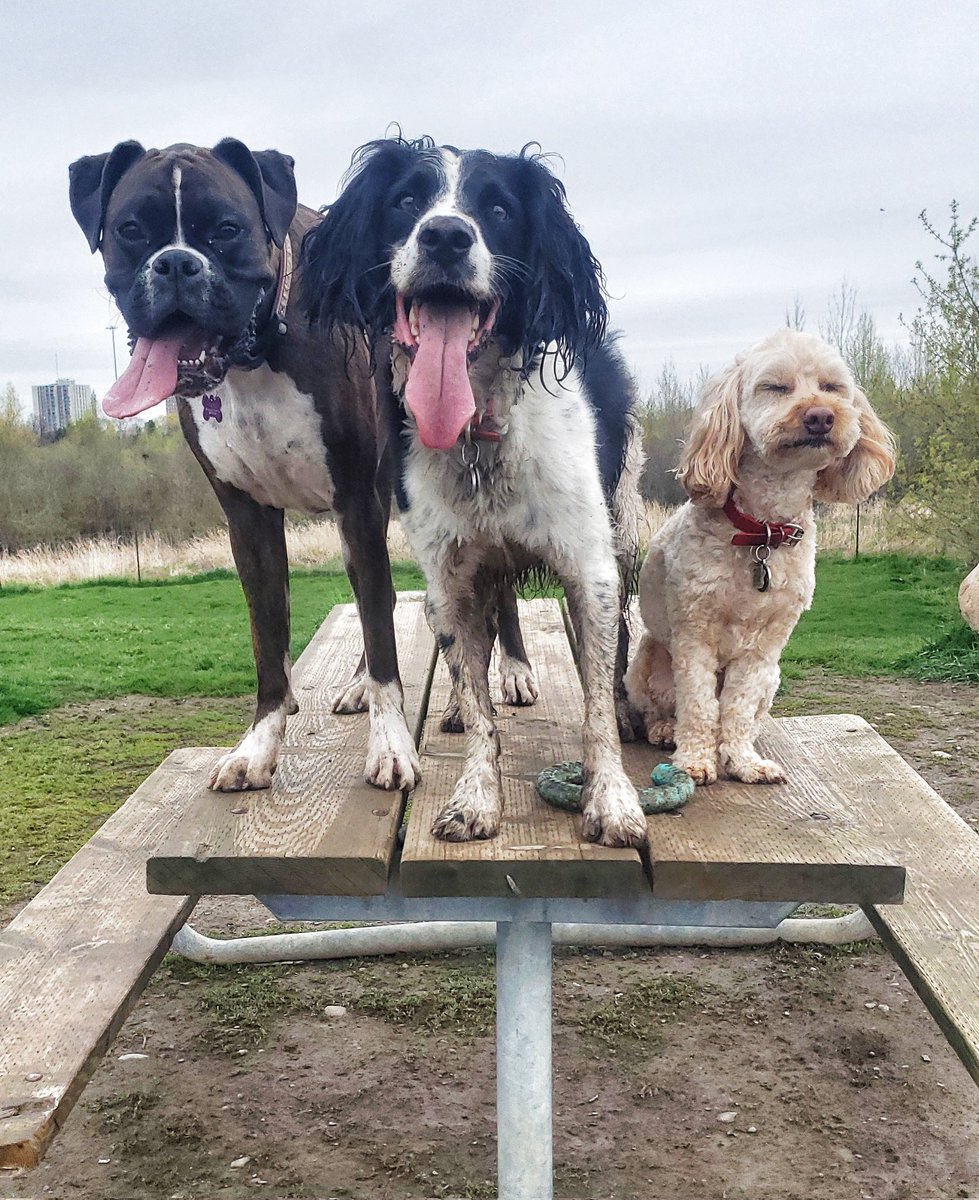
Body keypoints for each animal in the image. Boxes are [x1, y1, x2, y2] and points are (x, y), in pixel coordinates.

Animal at [628, 333, 892, 792]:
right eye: (775, 387)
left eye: (832, 387)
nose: (821, 416)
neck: (762, 532)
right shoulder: (695, 634)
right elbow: (699, 703)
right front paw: (695, 762)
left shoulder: (764, 645)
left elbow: (736, 706)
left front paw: (741, 761)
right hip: (644, 661)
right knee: (661, 707)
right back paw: (665, 729)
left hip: (774, 677)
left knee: (752, 714)